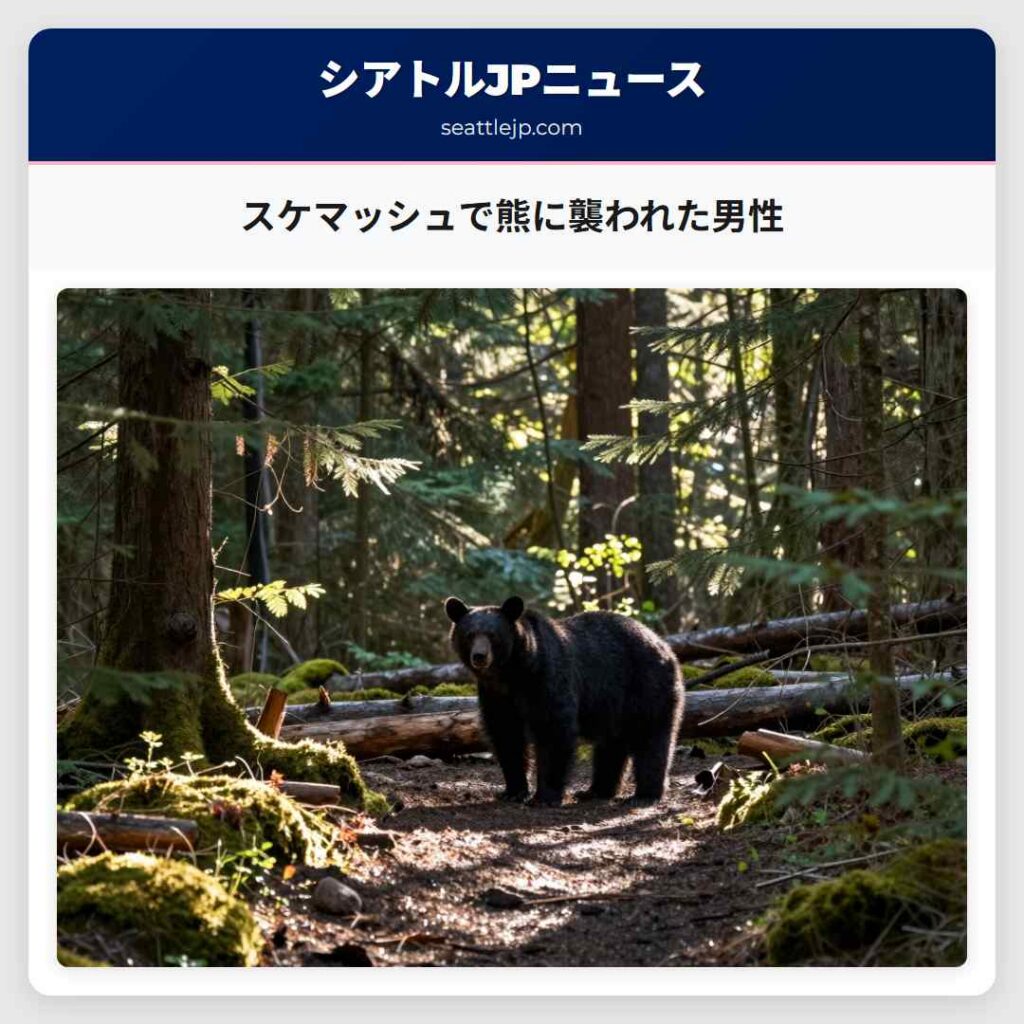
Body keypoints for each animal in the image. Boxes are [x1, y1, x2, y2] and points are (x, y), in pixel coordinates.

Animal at [444, 595, 684, 807]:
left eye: (493, 635)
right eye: (469, 634)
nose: (480, 656)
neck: (512, 673)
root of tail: (664, 645)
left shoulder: (546, 678)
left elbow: (553, 729)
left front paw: (545, 796)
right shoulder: (496, 695)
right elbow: (506, 734)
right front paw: (513, 791)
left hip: (645, 684)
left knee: (650, 737)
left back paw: (644, 794)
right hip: (614, 704)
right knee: (611, 744)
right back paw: (596, 790)